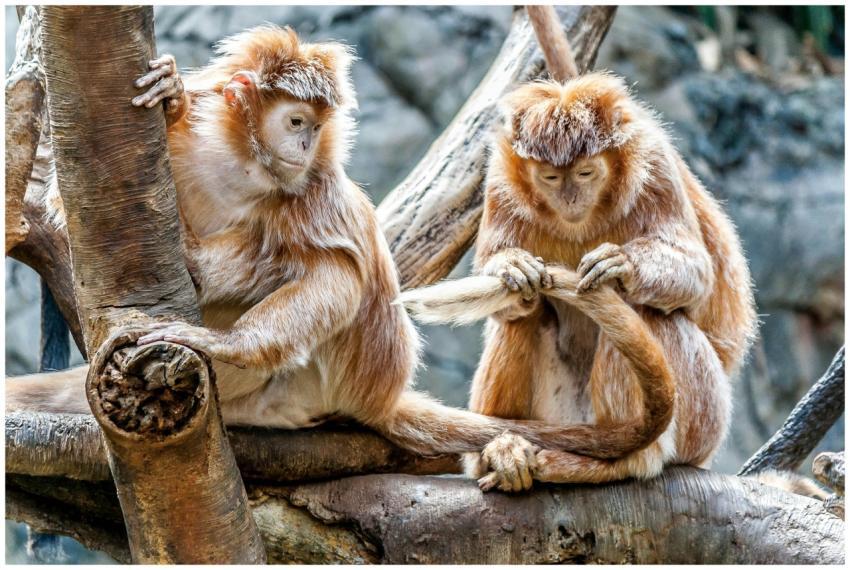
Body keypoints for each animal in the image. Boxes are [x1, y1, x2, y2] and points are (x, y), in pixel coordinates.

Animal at [5, 27, 678, 462]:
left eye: (314, 126)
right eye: (295, 121)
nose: (305, 145)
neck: (245, 164)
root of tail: (378, 395)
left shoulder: (312, 188)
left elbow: (337, 273)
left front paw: (224, 338)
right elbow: (69, 200)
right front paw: (169, 99)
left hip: (326, 375)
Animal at [399, 72, 758, 491]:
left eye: (586, 172)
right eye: (551, 177)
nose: (570, 198)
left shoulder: (654, 166)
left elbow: (698, 275)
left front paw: (623, 265)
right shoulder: (500, 180)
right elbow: (508, 292)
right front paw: (511, 267)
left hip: (705, 418)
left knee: (649, 312)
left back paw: (629, 458)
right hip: (558, 414)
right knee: (524, 316)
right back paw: (502, 449)